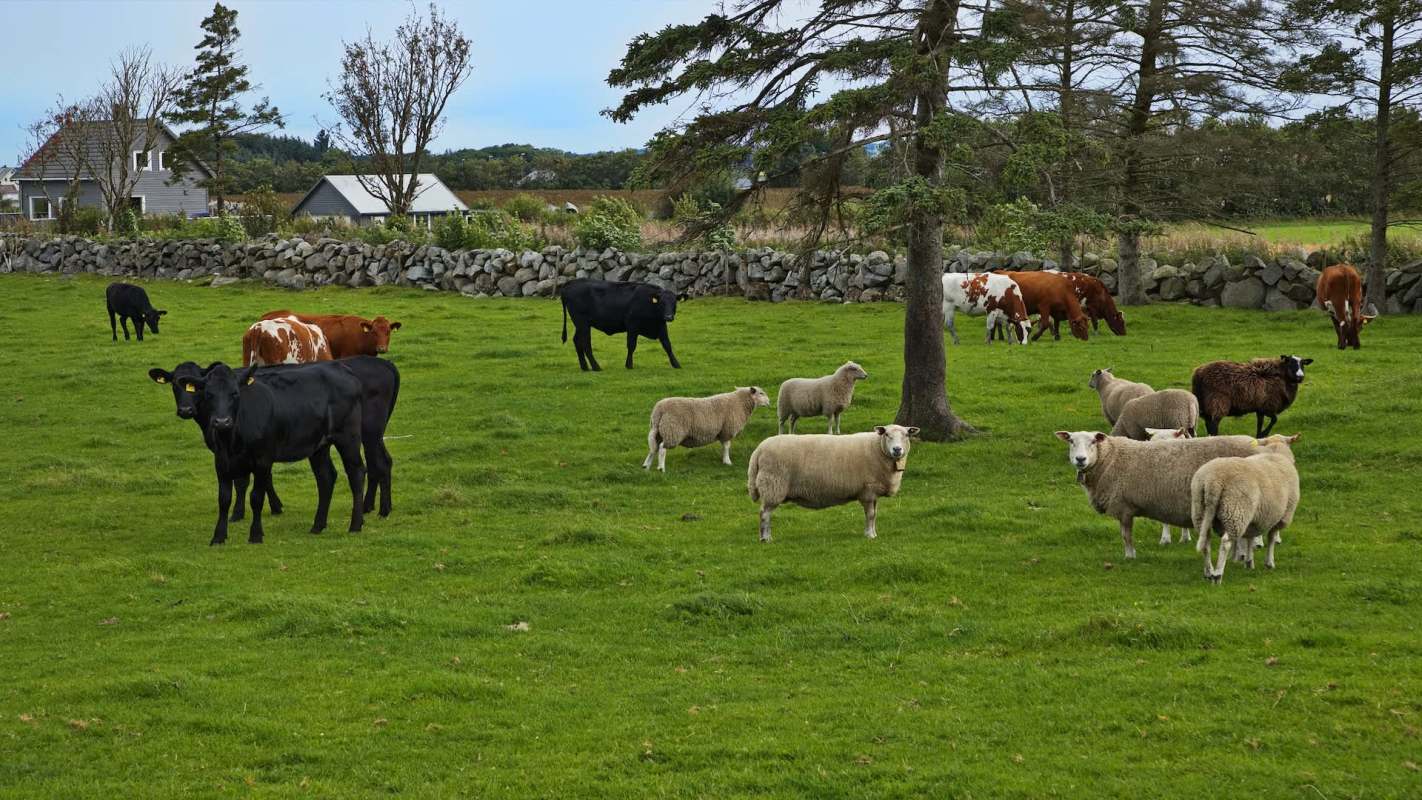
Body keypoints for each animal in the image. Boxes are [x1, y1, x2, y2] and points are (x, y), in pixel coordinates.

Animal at [747, 424, 918, 541]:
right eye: (887, 434)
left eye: (906, 435)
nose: (897, 450)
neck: (877, 448)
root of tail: (758, 450)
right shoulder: (868, 490)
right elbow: (870, 515)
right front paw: (869, 535)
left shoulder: (874, 491)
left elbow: (874, 515)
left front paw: (873, 533)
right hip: (773, 485)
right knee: (764, 514)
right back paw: (765, 538)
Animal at [1054, 430, 1268, 559]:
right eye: (1071, 441)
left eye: (1092, 442)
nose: (1080, 459)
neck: (1109, 459)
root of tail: (1258, 445)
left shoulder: (1124, 507)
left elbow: (1126, 536)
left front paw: (1130, 556)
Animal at [1192, 435, 1301, 583]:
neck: (1275, 452)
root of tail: (1213, 482)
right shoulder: (1281, 516)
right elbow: (1271, 538)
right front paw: (1269, 563)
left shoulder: (1255, 517)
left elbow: (1250, 537)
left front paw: (1249, 562)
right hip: (1235, 511)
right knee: (1225, 543)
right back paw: (1218, 574)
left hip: (1201, 511)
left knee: (1206, 543)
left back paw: (1209, 573)